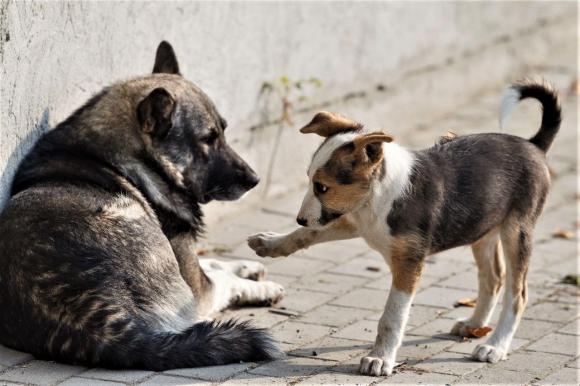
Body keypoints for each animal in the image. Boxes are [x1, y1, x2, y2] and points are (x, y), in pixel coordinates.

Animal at [0, 40, 284, 370]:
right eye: (208, 139)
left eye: (223, 131)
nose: (254, 179)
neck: (132, 157)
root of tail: (91, 322)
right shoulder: (196, 285)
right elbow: (220, 277)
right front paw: (260, 286)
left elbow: (214, 262)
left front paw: (248, 266)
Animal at [249, 80, 560, 376]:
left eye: (322, 187)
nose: (300, 218)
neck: (377, 196)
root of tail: (534, 145)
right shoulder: (356, 221)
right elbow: (309, 234)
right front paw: (271, 243)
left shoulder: (408, 263)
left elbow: (392, 316)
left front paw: (380, 359)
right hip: (482, 227)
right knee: (493, 278)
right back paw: (473, 324)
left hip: (517, 231)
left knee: (517, 294)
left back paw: (495, 346)